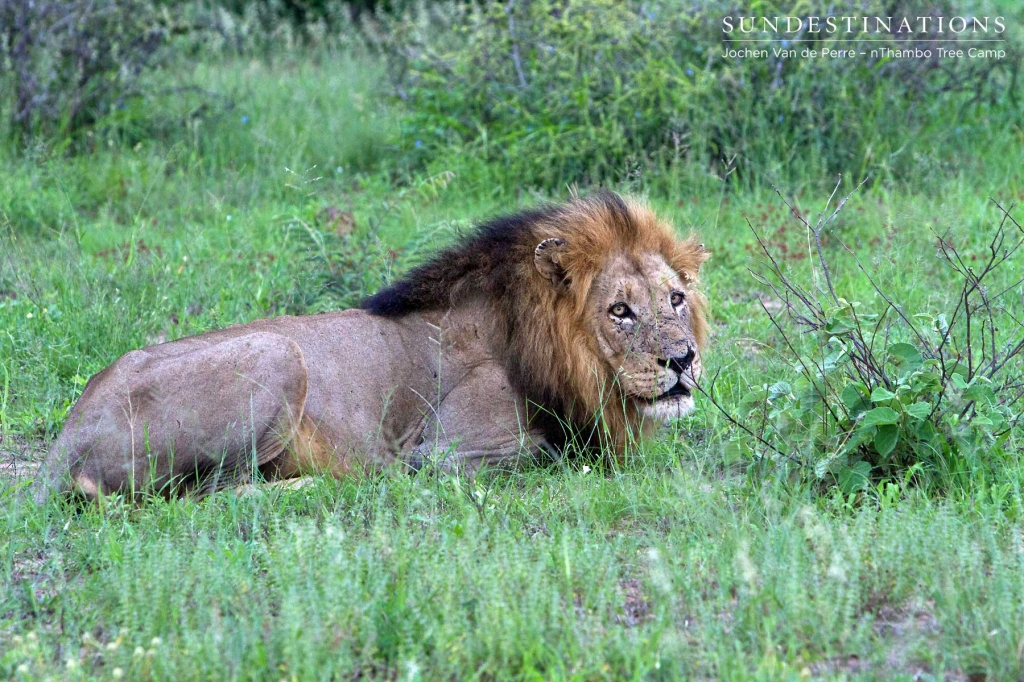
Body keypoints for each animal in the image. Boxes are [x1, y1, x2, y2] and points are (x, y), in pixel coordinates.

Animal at [32, 191, 708, 499]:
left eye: (675, 299)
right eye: (620, 311)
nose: (682, 360)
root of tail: (64, 442)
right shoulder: (443, 452)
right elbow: (549, 452)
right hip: (275, 354)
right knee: (208, 494)